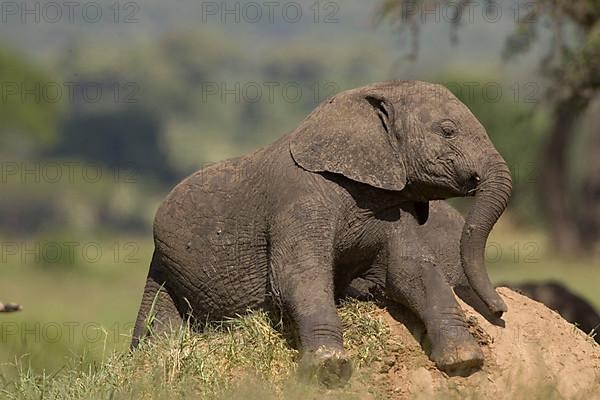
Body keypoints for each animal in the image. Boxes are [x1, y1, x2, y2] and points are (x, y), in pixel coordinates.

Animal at [131, 80, 510, 384]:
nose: (500, 311)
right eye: (447, 130)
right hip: (166, 268)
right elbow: (298, 276)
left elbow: (413, 271)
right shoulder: (298, 202)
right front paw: (330, 367)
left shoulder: (389, 206)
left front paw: (464, 360)